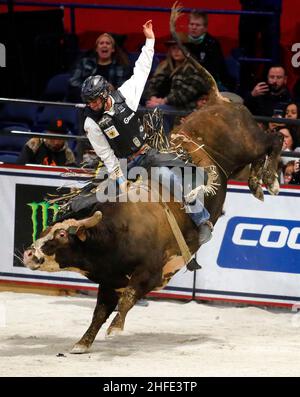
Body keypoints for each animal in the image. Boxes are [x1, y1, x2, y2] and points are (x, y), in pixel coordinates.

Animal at [22, 2, 282, 350]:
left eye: (62, 235)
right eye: (47, 228)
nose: (29, 253)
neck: (115, 231)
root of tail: (216, 99)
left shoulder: (151, 273)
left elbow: (128, 298)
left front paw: (115, 328)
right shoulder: (109, 281)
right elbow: (99, 311)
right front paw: (83, 343)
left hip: (249, 141)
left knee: (273, 140)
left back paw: (271, 180)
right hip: (238, 163)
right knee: (257, 159)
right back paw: (258, 183)